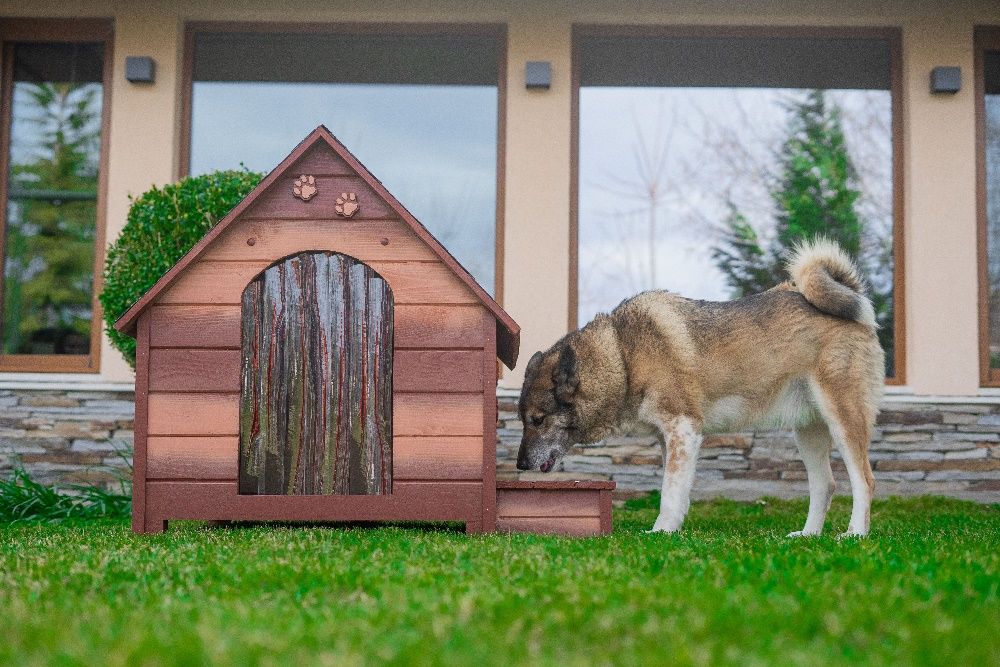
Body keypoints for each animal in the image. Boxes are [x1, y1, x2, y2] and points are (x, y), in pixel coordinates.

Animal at [516, 240, 884, 536]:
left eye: (538, 420)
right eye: (523, 421)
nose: (519, 465)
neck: (624, 355)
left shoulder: (683, 429)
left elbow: (668, 493)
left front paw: (660, 532)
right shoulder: (670, 439)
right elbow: (674, 490)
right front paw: (671, 530)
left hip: (843, 420)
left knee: (864, 481)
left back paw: (854, 535)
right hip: (808, 432)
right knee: (826, 485)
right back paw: (808, 536)